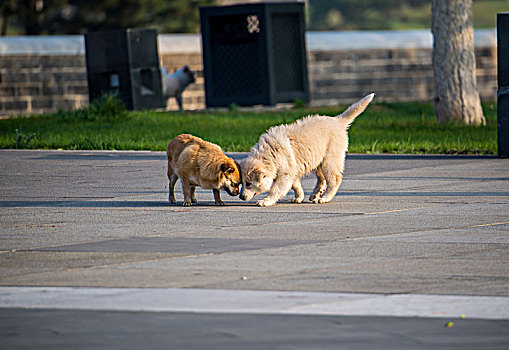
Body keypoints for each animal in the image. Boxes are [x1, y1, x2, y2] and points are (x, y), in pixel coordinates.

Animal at [238, 94, 374, 206]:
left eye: (248, 183)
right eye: (242, 183)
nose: (241, 197)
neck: (269, 154)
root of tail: (337, 120)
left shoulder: (285, 173)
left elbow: (276, 189)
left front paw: (266, 201)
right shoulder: (292, 170)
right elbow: (296, 185)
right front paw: (299, 197)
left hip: (330, 160)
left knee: (334, 179)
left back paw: (324, 198)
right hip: (317, 160)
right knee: (322, 179)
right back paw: (315, 194)